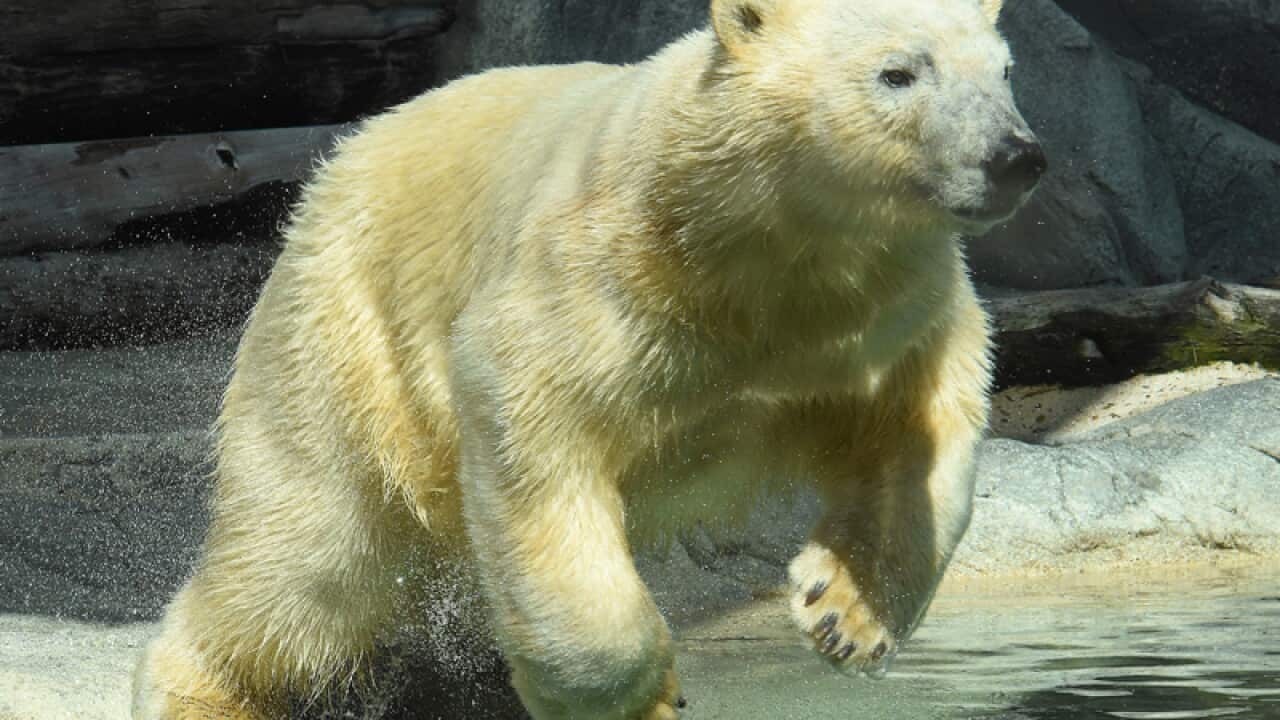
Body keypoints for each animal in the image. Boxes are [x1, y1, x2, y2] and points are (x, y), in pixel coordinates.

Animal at [133, 0, 1044, 718]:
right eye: (898, 72)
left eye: (1004, 69)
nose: (1016, 156)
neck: (759, 249)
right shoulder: (607, 274)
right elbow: (532, 415)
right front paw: (643, 696)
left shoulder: (877, 312)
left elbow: (926, 418)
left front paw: (844, 611)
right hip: (346, 339)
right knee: (311, 561)